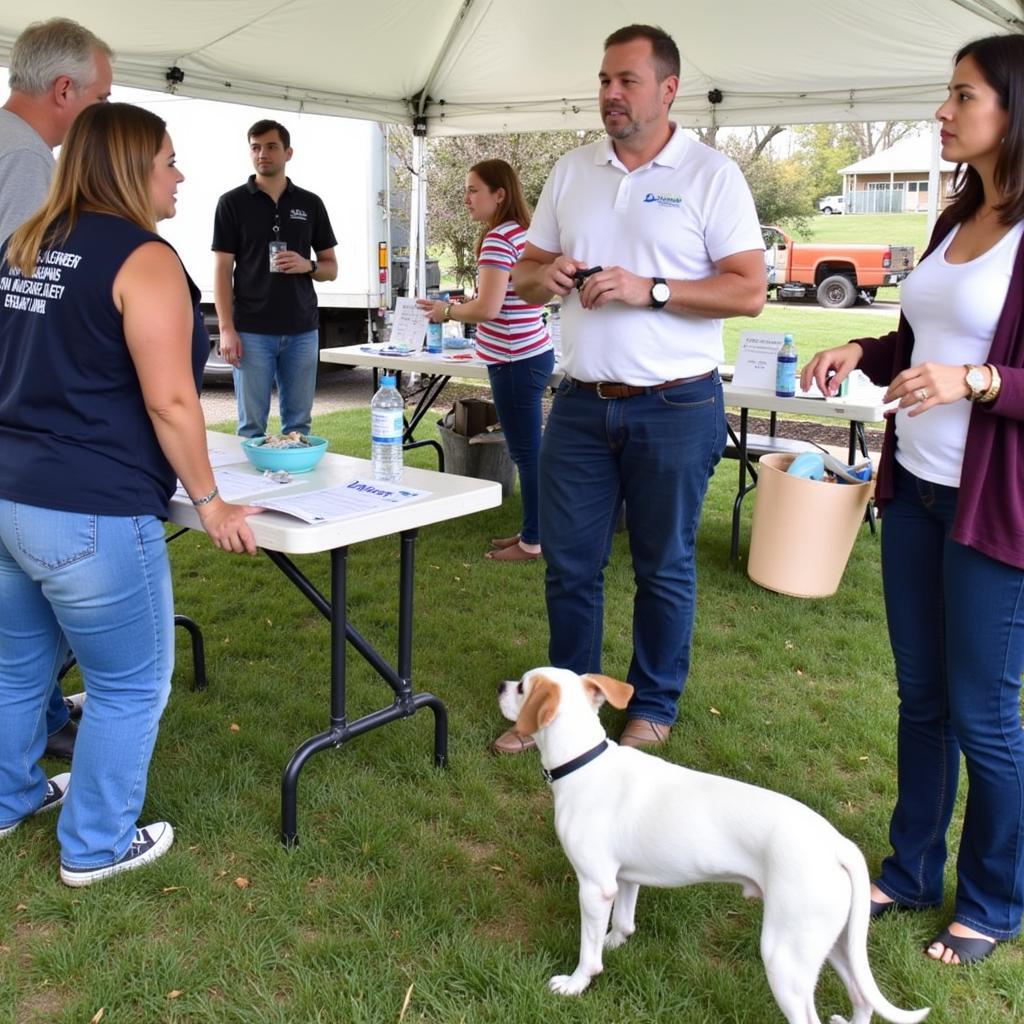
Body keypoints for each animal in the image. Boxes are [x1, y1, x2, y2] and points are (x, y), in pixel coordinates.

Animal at [499, 667, 933, 1024]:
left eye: (522, 688)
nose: (502, 685)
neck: (584, 762)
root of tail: (838, 845)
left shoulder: (594, 886)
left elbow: (588, 953)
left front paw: (576, 983)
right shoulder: (624, 878)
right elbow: (623, 921)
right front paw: (615, 942)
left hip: (785, 956)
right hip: (834, 943)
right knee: (861, 999)